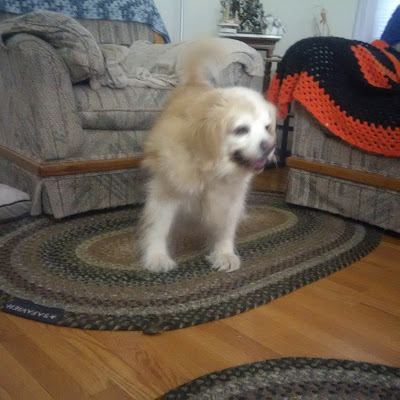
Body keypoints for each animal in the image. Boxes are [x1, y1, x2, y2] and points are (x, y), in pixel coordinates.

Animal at [140, 41, 277, 273]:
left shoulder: (229, 200)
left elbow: (225, 230)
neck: (210, 169)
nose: (270, 146)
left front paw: (224, 254)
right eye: (241, 129)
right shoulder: (166, 195)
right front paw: (157, 257)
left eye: (267, 128)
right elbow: (159, 228)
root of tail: (195, 82)